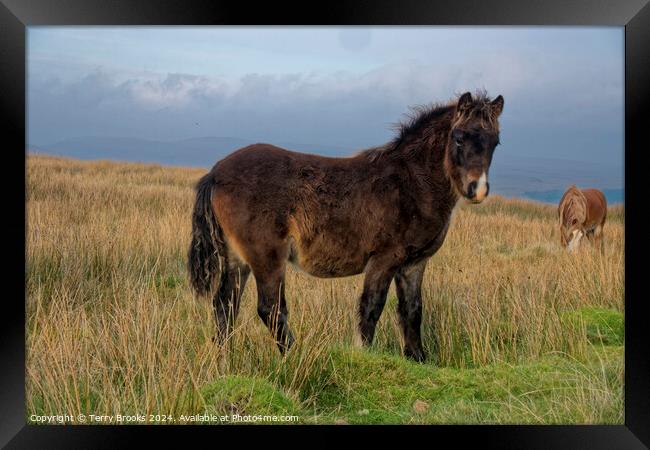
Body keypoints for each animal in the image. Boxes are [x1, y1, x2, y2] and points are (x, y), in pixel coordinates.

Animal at [186, 91, 502, 362]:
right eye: (459, 138)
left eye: (495, 142)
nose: (477, 190)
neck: (412, 183)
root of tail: (215, 173)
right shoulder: (384, 259)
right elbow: (371, 308)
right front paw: (363, 356)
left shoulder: (414, 264)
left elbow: (412, 311)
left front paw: (418, 360)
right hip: (267, 257)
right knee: (271, 309)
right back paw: (297, 358)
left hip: (237, 260)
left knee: (225, 307)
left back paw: (223, 362)